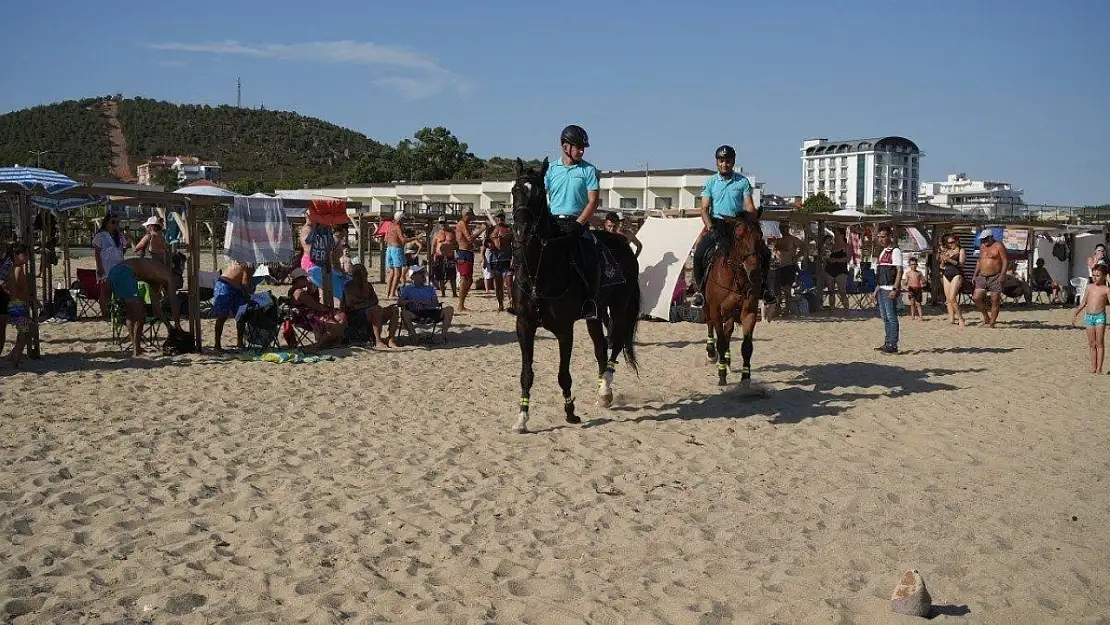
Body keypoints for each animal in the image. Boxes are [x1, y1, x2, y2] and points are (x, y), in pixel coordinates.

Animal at [510, 156, 643, 432]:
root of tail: (624, 244)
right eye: (515, 191)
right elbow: (526, 374)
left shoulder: (564, 330)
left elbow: (563, 374)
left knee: (616, 342)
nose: (521, 231)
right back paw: (604, 392)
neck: (540, 270)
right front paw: (522, 417)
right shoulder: (524, 325)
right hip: (596, 313)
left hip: (621, 307)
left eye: (539, 193)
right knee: (601, 346)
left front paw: (570, 412)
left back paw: (605, 388)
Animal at [701, 218, 763, 386]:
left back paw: (727, 362)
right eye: (739, 238)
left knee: (728, 331)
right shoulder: (716, 311)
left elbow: (746, 346)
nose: (754, 272)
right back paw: (712, 354)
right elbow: (721, 342)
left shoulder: (749, 313)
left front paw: (746, 378)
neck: (737, 279)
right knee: (710, 324)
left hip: (731, 313)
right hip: (709, 307)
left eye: (760, 237)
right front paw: (721, 374)